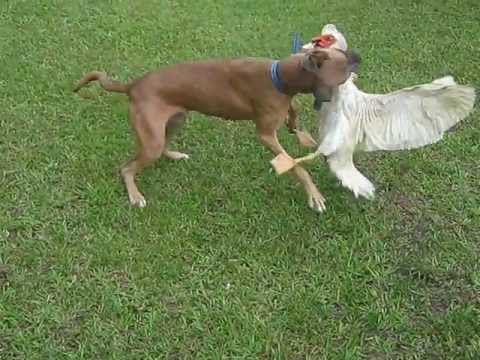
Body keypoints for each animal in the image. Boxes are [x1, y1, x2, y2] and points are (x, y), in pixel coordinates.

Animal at [73, 47, 358, 211]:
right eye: (343, 64)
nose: (358, 56)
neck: (281, 76)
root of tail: (133, 85)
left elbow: (294, 117)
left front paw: (303, 135)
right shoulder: (265, 135)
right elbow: (297, 166)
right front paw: (314, 195)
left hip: (175, 120)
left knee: (164, 146)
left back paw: (175, 155)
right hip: (151, 139)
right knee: (127, 168)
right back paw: (135, 195)